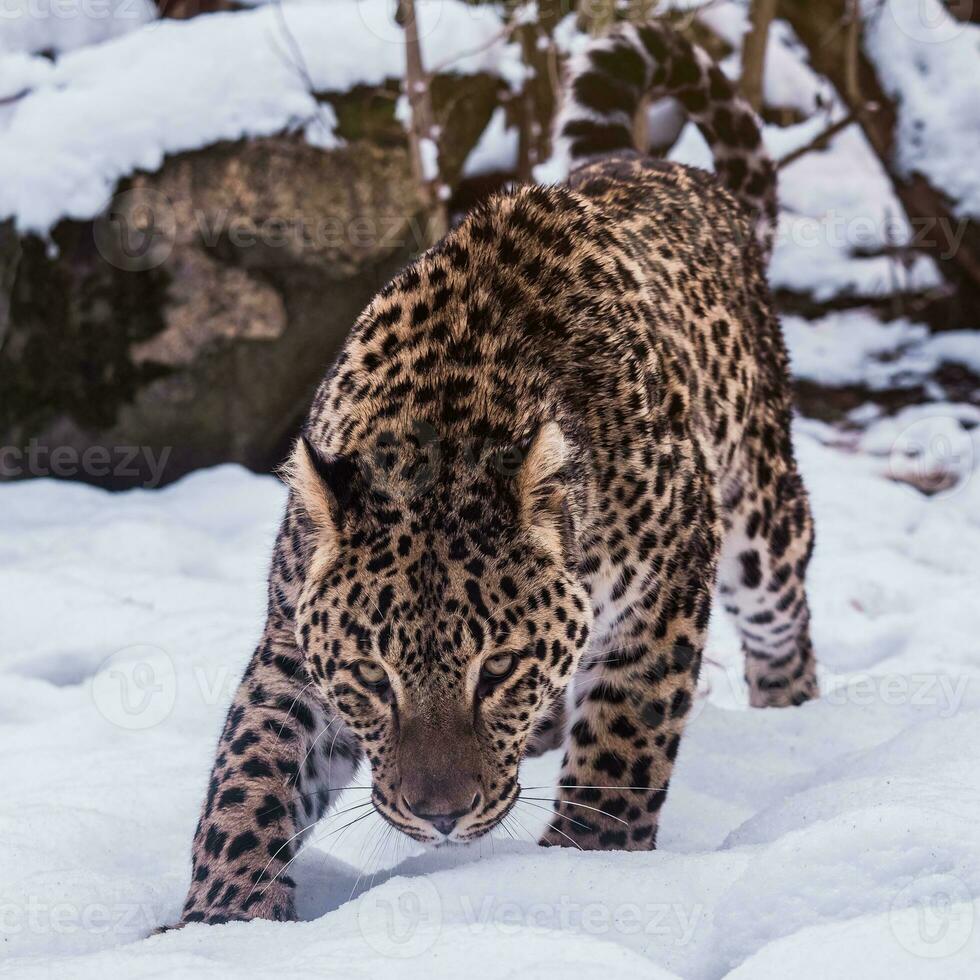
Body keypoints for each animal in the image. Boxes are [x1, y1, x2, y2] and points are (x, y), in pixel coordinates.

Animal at [168, 21, 820, 928]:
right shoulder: (293, 637)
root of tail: (672, 172)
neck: (442, 420)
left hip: (758, 515)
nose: (440, 817)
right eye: (373, 678)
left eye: (499, 669)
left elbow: (624, 738)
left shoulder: (665, 583)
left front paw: (584, 866)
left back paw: (795, 720)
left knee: (782, 617)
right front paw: (226, 917)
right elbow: (250, 771)